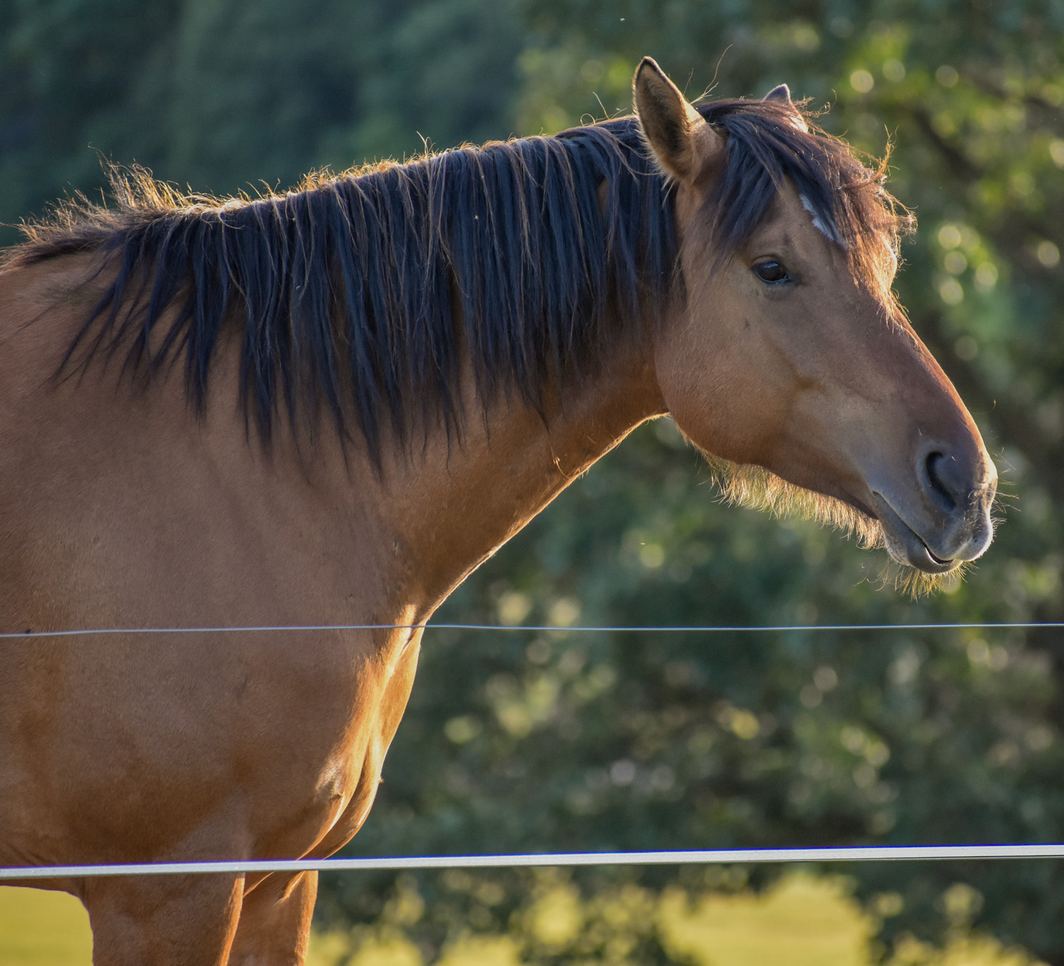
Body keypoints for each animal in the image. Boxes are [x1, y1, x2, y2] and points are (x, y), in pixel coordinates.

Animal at [0, 58, 996, 964]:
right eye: (773, 268)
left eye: (884, 260)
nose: (965, 484)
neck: (242, 473)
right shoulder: (167, 889)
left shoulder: (279, 880)